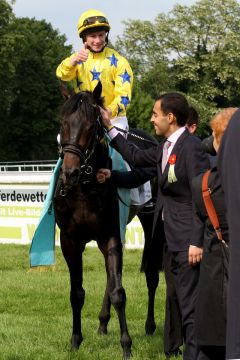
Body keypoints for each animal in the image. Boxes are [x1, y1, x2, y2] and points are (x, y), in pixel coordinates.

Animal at [53, 83, 132, 358]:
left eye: (90, 125)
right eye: (63, 122)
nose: (69, 172)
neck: (85, 188)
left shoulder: (110, 235)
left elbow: (119, 291)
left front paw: (126, 345)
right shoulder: (70, 240)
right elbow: (76, 293)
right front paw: (75, 340)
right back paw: (102, 323)